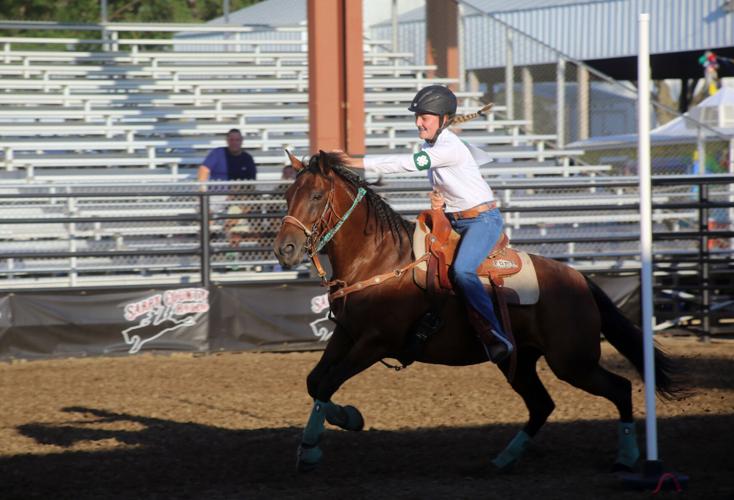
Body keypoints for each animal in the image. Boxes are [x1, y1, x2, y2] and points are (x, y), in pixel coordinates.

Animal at [273, 150, 678, 473]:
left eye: (316, 195)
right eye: (288, 194)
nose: (285, 249)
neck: (381, 260)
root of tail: (580, 280)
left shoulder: (375, 342)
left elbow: (328, 382)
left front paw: (315, 446)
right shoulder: (347, 334)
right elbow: (315, 382)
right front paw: (340, 424)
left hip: (572, 361)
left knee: (619, 388)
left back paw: (627, 457)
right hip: (521, 361)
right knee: (542, 405)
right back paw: (504, 459)